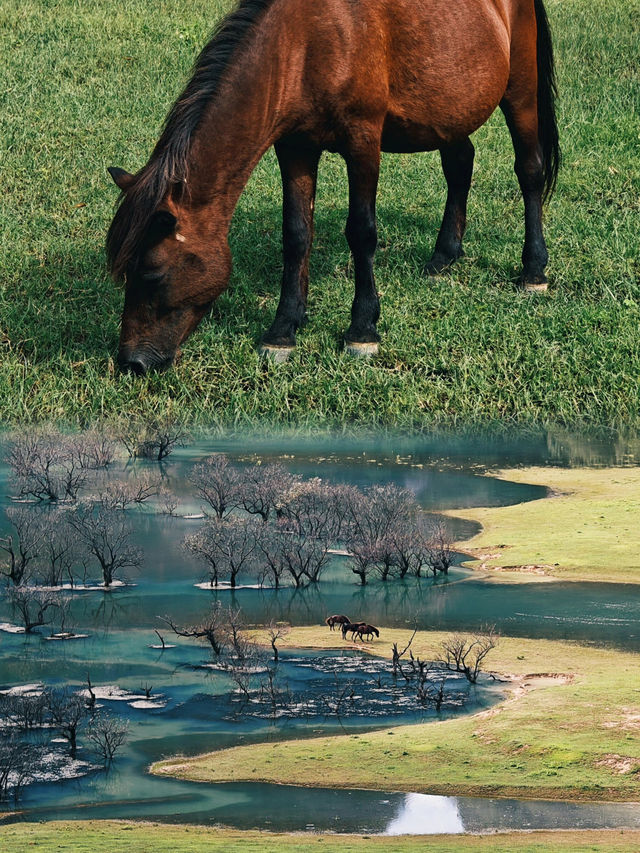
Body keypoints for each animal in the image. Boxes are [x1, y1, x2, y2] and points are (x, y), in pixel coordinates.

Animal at [107, 0, 556, 372]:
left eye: (152, 274)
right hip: (447, 110)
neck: (305, 42)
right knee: (460, 164)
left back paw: (533, 269)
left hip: (520, 91)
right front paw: (284, 329)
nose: (132, 362)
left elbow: (362, 232)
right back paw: (444, 255)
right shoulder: (296, 148)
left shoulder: (363, 142)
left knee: (529, 172)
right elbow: (296, 234)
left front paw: (362, 329)